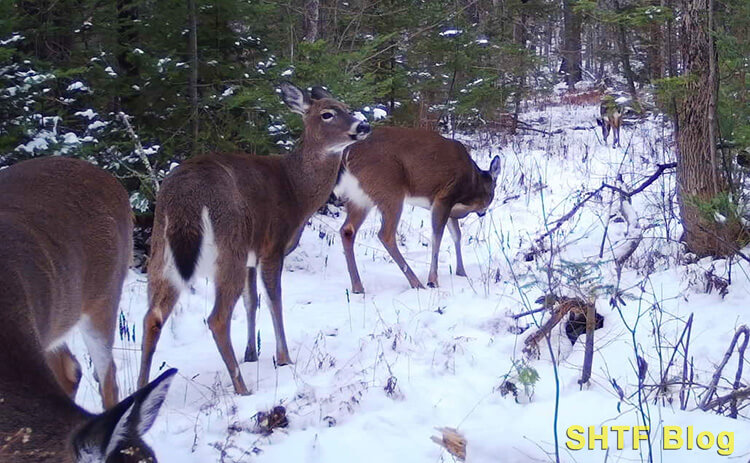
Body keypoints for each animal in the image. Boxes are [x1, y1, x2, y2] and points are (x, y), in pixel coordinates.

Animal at [138, 82, 374, 396]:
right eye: (327, 114)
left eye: (347, 107)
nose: (364, 125)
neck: (297, 190)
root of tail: (186, 197)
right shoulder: (272, 246)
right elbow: (275, 300)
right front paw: (283, 357)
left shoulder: (253, 253)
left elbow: (252, 302)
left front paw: (251, 352)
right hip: (229, 245)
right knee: (217, 318)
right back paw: (242, 388)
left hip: (162, 251)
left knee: (151, 317)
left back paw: (137, 391)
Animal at [336, 127, 502, 294]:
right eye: (493, 191)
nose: (483, 212)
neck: (472, 189)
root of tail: (347, 154)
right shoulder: (444, 197)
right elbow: (437, 236)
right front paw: (433, 280)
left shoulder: (450, 209)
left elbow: (457, 235)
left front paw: (461, 272)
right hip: (389, 189)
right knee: (385, 234)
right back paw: (416, 283)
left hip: (359, 197)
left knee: (347, 230)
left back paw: (358, 287)